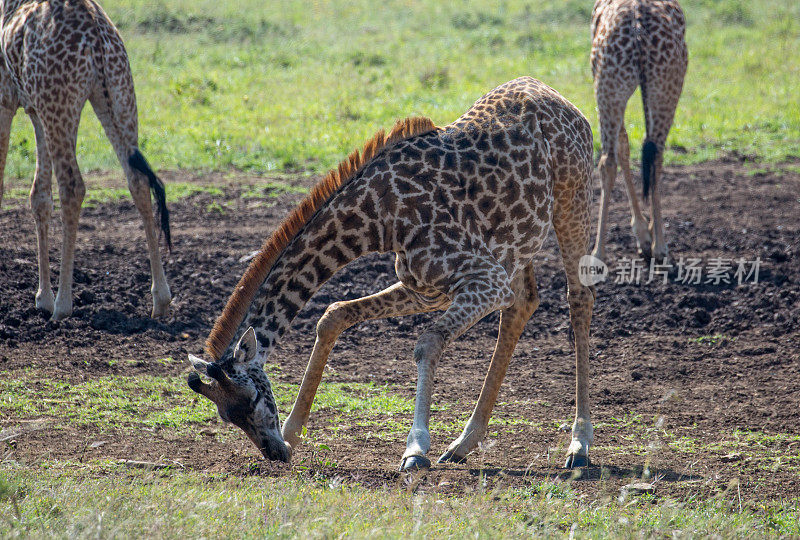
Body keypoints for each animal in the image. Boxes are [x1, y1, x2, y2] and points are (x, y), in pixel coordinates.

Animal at [0, 0, 172, 320]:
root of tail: (96, 34)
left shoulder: (6, 98)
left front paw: (46, 300)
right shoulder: (32, 107)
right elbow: (40, 197)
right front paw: (41, 297)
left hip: (61, 101)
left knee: (73, 187)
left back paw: (63, 306)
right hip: (116, 95)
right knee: (138, 180)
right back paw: (161, 300)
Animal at [189, 78, 600, 470]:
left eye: (252, 398)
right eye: (225, 414)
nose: (273, 452)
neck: (381, 220)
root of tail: (565, 102)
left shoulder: (485, 281)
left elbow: (428, 342)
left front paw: (415, 448)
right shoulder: (428, 289)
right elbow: (333, 315)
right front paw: (293, 434)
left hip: (572, 202)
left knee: (579, 298)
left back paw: (579, 444)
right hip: (517, 245)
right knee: (522, 305)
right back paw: (463, 444)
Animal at [592, 0, 688, 262]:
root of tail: (637, 29)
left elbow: (625, 146)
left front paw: (644, 233)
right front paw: (645, 233)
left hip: (612, 87)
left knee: (612, 159)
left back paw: (599, 253)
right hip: (661, 86)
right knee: (648, 153)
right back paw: (658, 246)